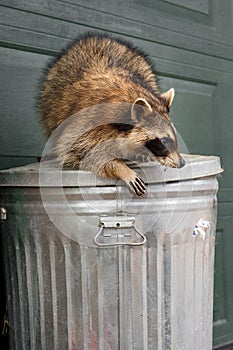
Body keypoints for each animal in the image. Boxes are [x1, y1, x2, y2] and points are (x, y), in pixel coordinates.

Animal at [39, 32, 185, 197]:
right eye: (163, 141)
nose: (182, 163)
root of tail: (98, 37)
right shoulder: (86, 121)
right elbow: (78, 151)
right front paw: (120, 168)